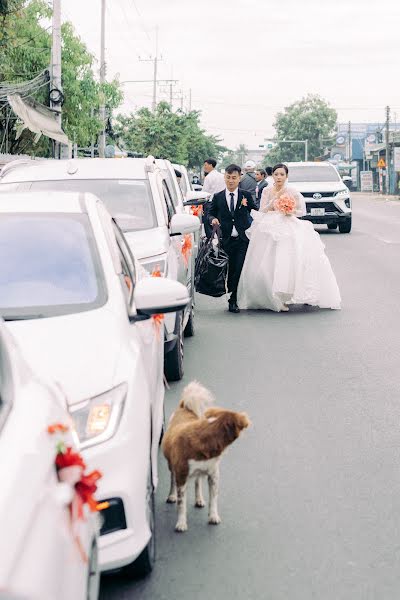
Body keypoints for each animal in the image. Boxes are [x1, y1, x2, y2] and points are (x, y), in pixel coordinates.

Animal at [160, 382, 248, 532]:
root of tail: (183, 407)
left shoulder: (214, 475)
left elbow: (213, 499)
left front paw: (213, 516)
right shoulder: (181, 475)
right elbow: (181, 504)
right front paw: (181, 523)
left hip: (200, 471)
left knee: (198, 481)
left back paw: (199, 499)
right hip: (171, 466)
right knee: (173, 480)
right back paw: (172, 496)